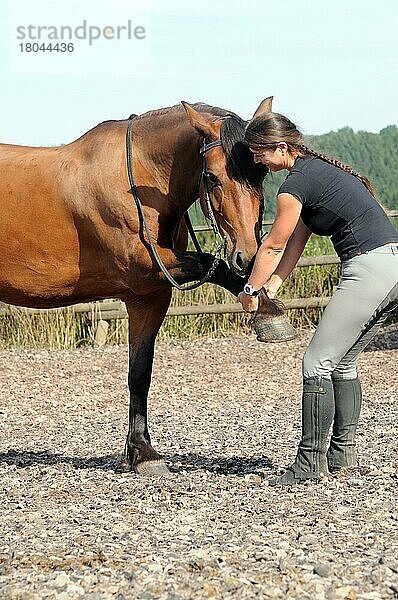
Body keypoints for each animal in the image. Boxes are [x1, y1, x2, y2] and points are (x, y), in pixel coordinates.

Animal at [0, 97, 274, 474]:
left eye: (261, 173)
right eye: (212, 177)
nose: (247, 255)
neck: (139, 182)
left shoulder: (149, 295)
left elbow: (139, 374)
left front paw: (142, 451)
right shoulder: (142, 269)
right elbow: (214, 266)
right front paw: (271, 314)